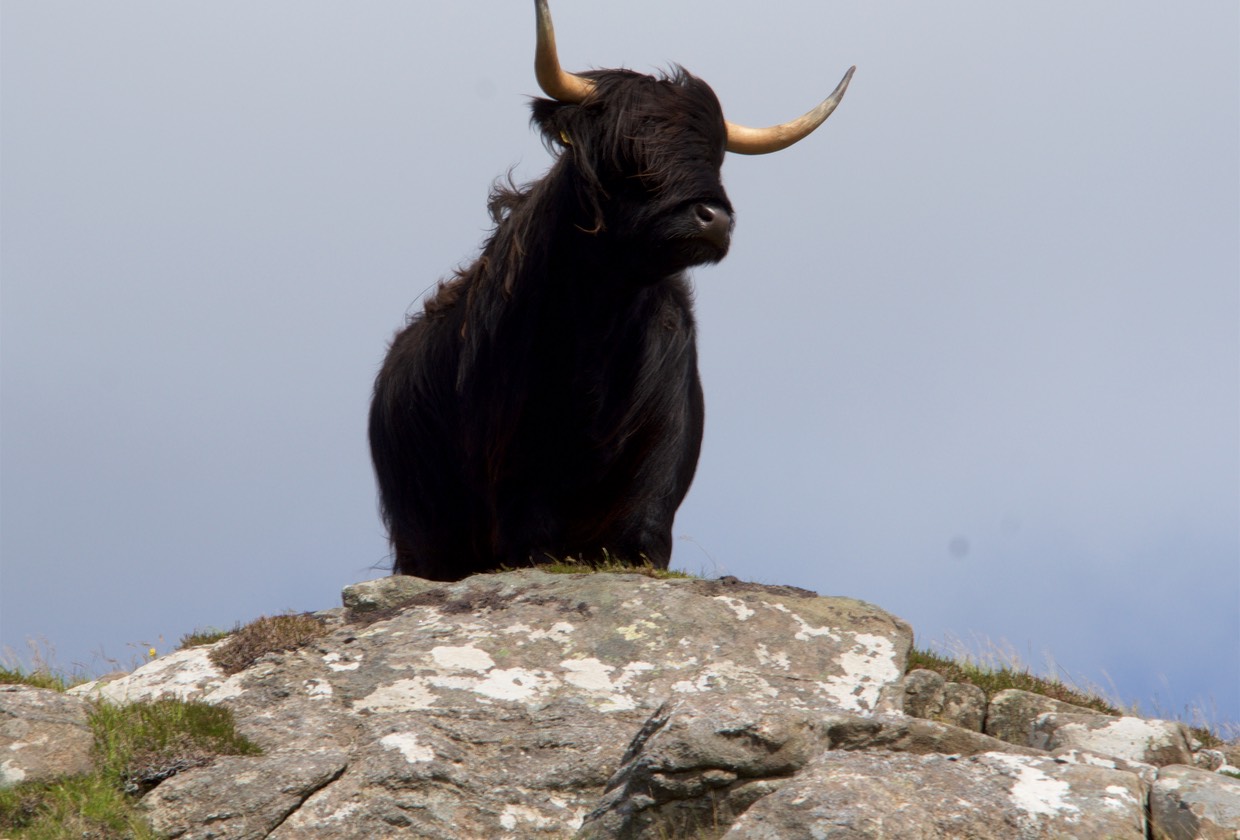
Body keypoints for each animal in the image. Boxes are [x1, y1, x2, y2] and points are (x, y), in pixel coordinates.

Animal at [369, 0, 853, 580]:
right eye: (630, 146)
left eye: (715, 155)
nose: (713, 218)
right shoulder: (514, 471)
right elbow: (531, 541)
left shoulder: (659, 459)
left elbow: (644, 531)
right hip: (424, 542)